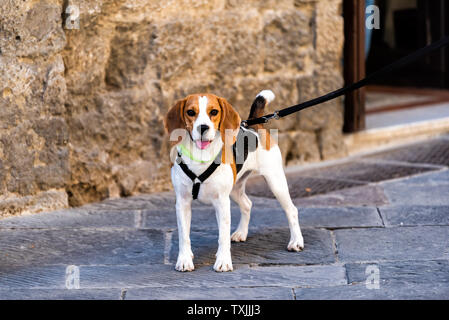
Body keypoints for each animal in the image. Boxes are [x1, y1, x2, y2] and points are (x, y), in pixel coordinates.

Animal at [164, 90, 304, 272]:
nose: (203, 127)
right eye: (190, 112)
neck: (201, 157)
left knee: (291, 210)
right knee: (247, 204)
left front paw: (223, 261)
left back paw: (296, 241)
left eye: (214, 112)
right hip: (235, 189)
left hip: (276, 183)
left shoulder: (222, 202)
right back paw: (241, 233)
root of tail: (253, 126)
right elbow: (184, 236)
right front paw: (184, 259)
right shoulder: (182, 202)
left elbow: (222, 235)